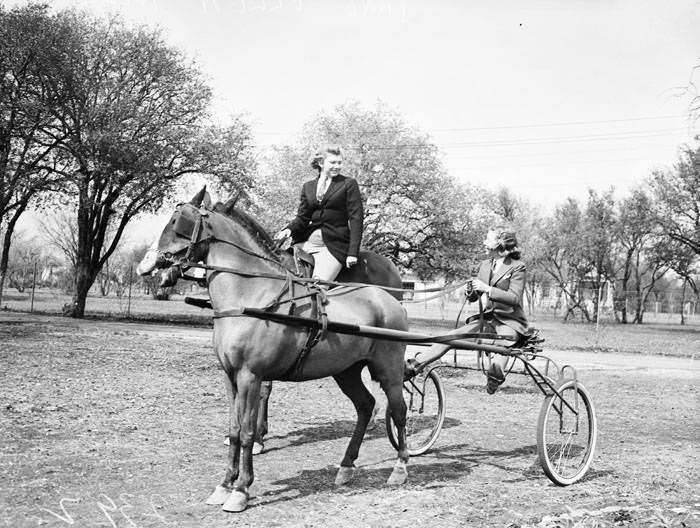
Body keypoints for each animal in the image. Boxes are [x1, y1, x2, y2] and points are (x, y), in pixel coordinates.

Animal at [137, 190, 410, 512]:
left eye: (179, 221)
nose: (146, 264)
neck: (251, 294)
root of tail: (389, 298)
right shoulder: (229, 376)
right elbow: (233, 429)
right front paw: (224, 484)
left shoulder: (250, 376)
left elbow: (246, 430)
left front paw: (241, 488)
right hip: (346, 371)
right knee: (366, 405)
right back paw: (346, 466)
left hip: (389, 370)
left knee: (399, 411)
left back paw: (400, 468)